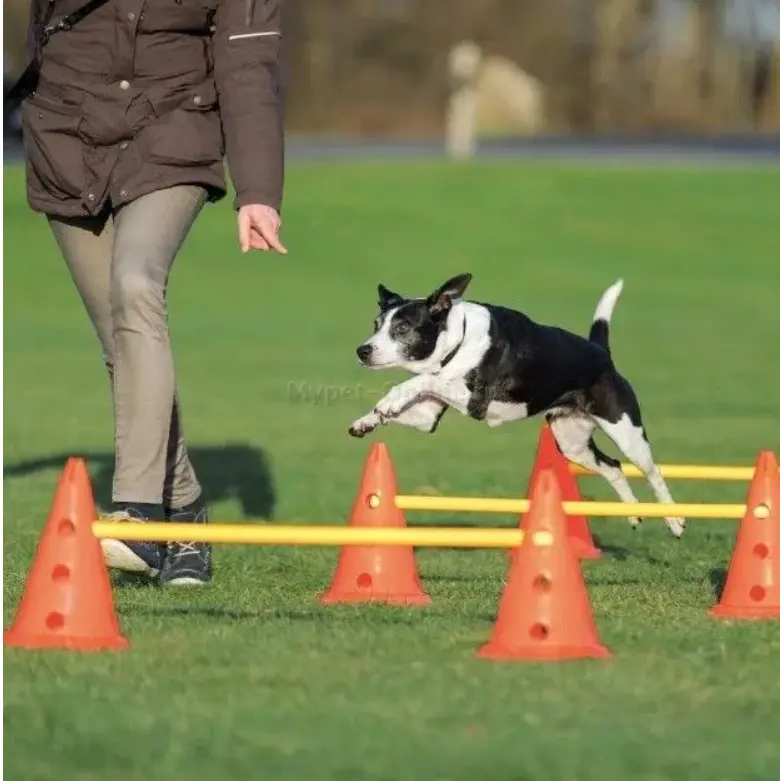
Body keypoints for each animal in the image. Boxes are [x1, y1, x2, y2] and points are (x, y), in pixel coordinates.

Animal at [347, 273, 685, 537]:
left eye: (403, 328)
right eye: (376, 324)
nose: (363, 350)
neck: (458, 338)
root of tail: (602, 353)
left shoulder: (475, 401)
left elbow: (422, 380)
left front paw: (390, 400)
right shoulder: (426, 416)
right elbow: (415, 392)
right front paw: (368, 420)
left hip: (627, 432)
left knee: (652, 472)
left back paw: (675, 520)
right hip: (572, 443)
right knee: (613, 466)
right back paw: (634, 513)